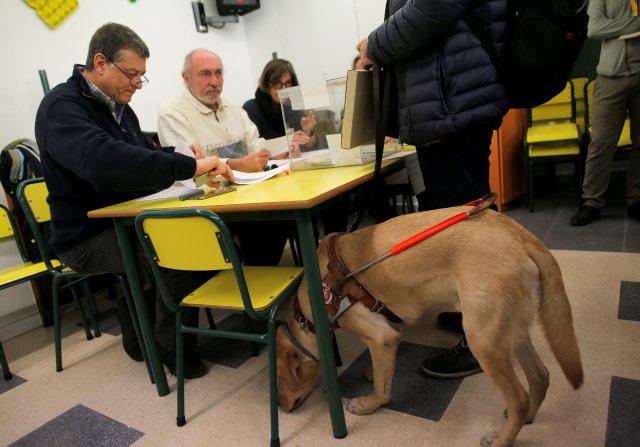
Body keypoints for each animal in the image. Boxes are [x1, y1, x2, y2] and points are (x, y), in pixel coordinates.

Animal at [276, 204, 580, 447]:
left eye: (279, 377)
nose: (280, 406)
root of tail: (522, 234)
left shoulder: (382, 336)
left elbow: (383, 391)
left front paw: (368, 404)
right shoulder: (388, 333)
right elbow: (381, 369)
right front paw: (373, 372)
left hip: (483, 340)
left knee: (519, 399)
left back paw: (503, 439)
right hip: (511, 332)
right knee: (540, 377)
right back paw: (529, 417)